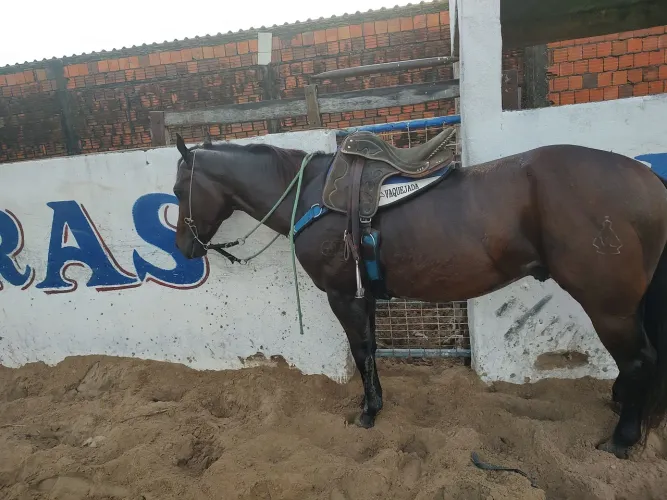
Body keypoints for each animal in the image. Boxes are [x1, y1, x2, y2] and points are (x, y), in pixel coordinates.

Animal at [171, 130, 667, 460]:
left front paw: (368, 412)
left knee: (640, 359)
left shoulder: (342, 294)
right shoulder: (363, 295)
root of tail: (649, 179)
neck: (311, 193)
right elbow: (370, 349)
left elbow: (362, 349)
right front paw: (376, 404)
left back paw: (620, 439)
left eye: (178, 189)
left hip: (608, 305)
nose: (185, 248)